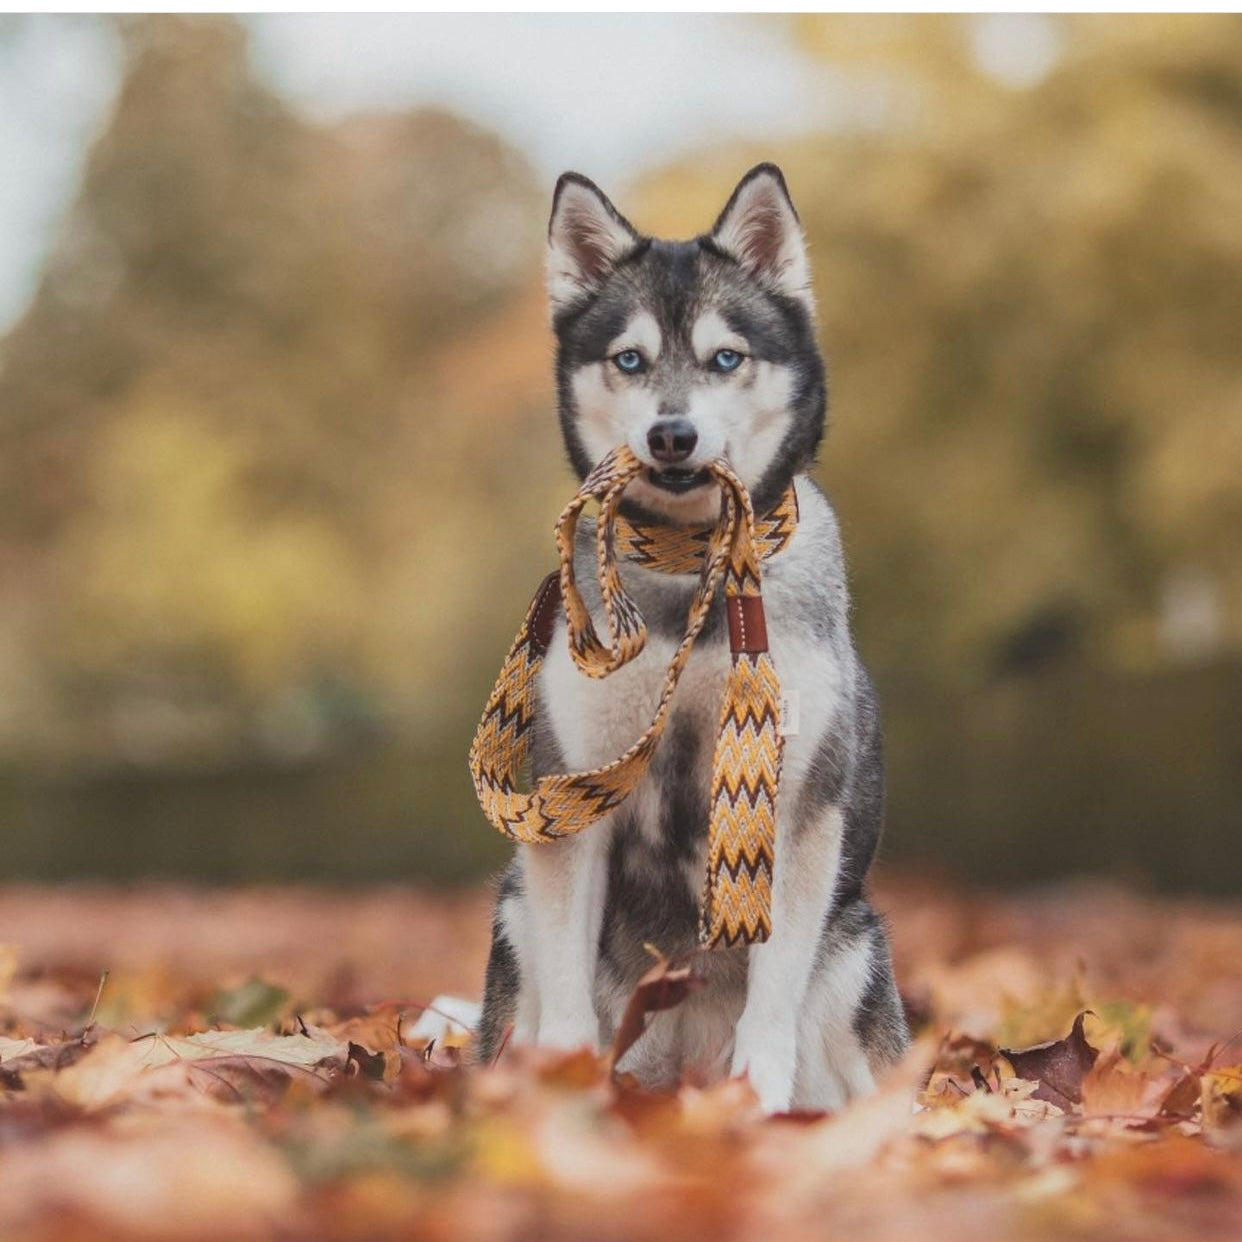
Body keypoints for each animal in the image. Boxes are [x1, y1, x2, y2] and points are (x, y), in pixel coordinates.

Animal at [479, 167, 909, 1117]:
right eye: (630, 360)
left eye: (726, 358)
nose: (671, 434)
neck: (692, 579)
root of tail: (674, 1060)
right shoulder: (575, 793)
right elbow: (568, 989)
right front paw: (565, 1090)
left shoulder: (792, 804)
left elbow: (773, 983)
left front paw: (759, 1092)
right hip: (515, 908)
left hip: (856, 946)